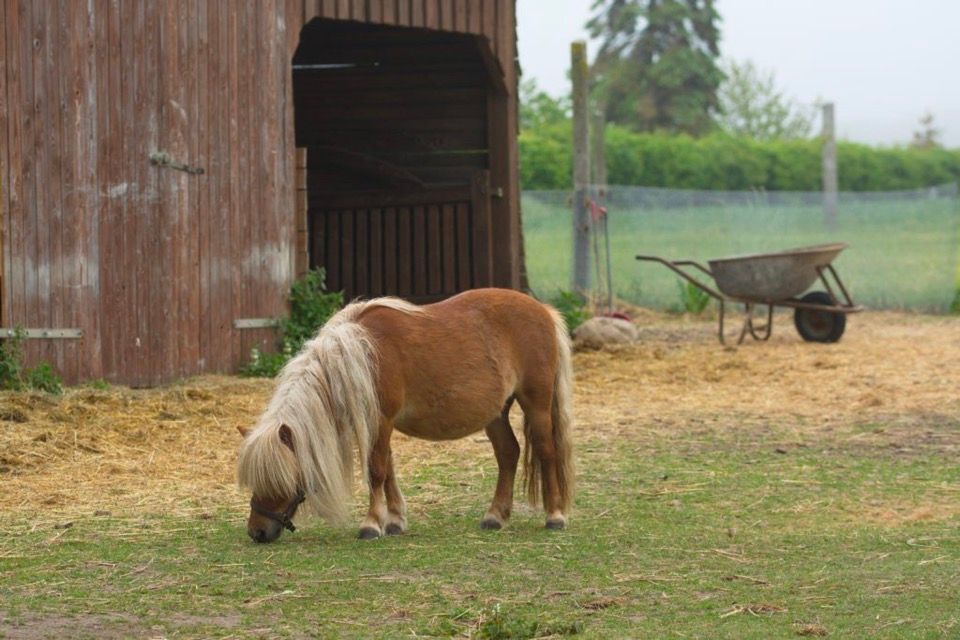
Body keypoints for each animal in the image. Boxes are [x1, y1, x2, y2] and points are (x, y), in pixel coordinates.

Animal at [236, 288, 572, 544]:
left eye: (279, 478)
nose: (257, 532)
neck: (360, 354)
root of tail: (543, 310)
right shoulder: (378, 425)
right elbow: (388, 471)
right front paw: (395, 520)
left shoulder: (381, 421)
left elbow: (376, 471)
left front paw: (371, 524)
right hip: (496, 413)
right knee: (508, 453)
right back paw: (495, 516)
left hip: (536, 404)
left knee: (546, 452)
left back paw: (555, 516)